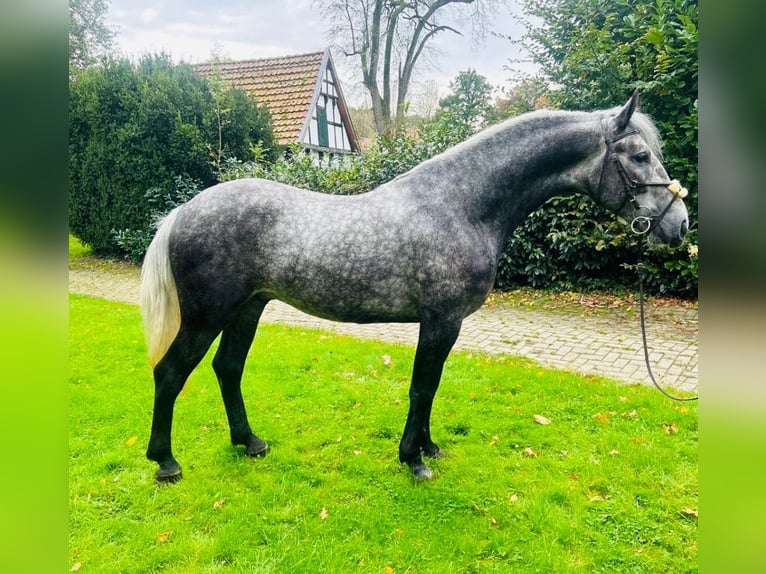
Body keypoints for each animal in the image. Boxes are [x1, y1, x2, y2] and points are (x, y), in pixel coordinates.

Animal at [141, 90, 692, 484]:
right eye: (639, 156)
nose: (679, 223)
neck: (461, 204)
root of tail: (184, 211)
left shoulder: (444, 325)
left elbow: (431, 387)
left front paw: (428, 447)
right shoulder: (440, 320)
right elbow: (422, 387)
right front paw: (414, 460)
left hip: (248, 309)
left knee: (227, 369)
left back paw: (249, 443)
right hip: (207, 316)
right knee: (170, 373)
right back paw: (165, 463)